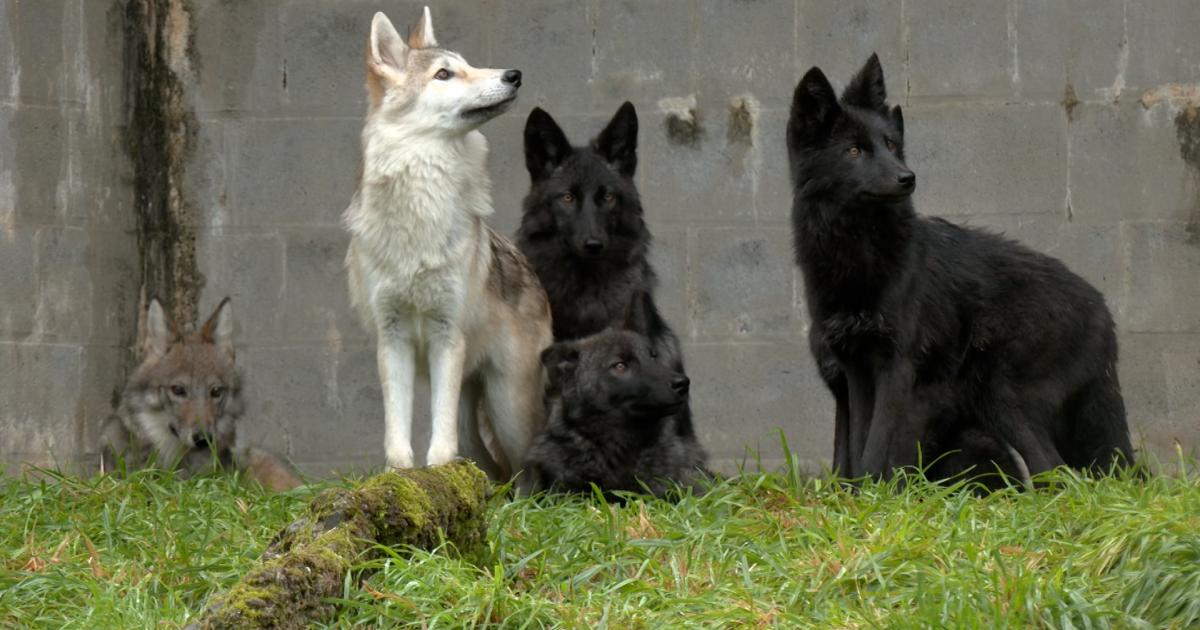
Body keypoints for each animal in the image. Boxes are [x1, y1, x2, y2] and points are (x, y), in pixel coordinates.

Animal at [343, 6, 552, 482]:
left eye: (468, 64)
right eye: (444, 74)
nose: (514, 75)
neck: (422, 200)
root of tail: (530, 269)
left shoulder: (446, 334)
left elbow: (438, 429)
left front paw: (437, 466)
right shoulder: (393, 338)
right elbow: (396, 421)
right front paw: (401, 474)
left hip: (509, 408)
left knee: (524, 467)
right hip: (475, 406)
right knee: (488, 463)